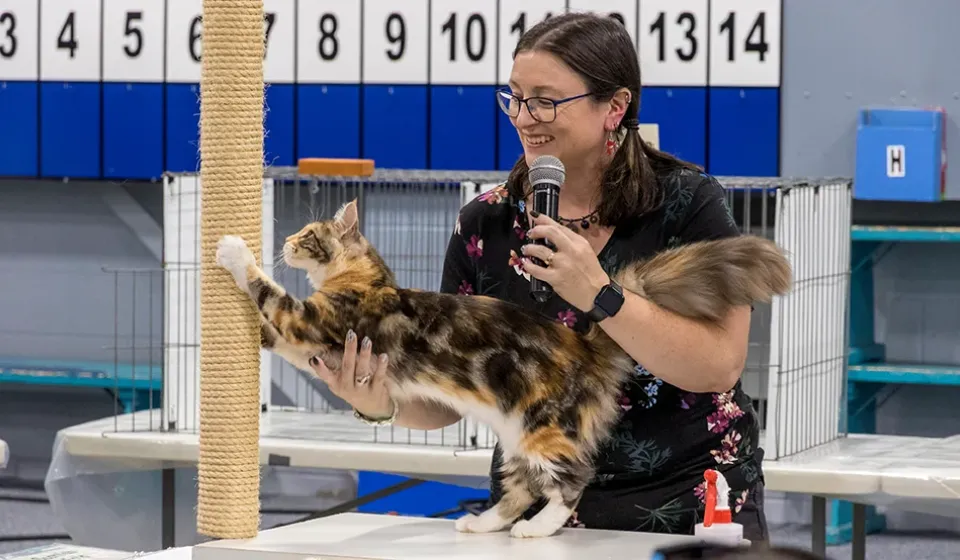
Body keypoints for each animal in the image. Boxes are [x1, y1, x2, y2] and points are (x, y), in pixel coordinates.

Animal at [214, 198, 792, 540]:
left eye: (308, 234)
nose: (286, 241)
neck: (365, 277)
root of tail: (582, 342)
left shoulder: (307, 322)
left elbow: (265, 290)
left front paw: (233, 248)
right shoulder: (304, 340)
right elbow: (265, 329)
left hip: (543, 429)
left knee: (570, 481)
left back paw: (537, 531)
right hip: (516, 437)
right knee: (520, 490)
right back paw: (482, 524)